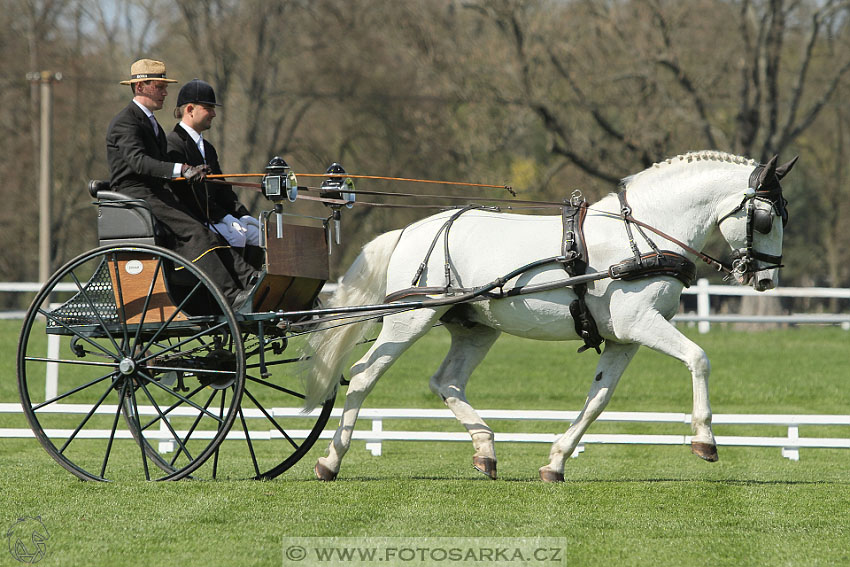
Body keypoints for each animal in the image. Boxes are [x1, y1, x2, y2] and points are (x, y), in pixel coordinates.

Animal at [300, 152, 796, 484]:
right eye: (766, 219)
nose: (766, 279)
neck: (641, 234)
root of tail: (410, 230)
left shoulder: (625, 338)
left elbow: (598, 399)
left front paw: (556, 461)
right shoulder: (641, 323)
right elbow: (698, 358)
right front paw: (704, 439)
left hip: (475, 328)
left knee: (447, 381)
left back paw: (485, 449)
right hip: (409, 319)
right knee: (364, 375)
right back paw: (330, 460)